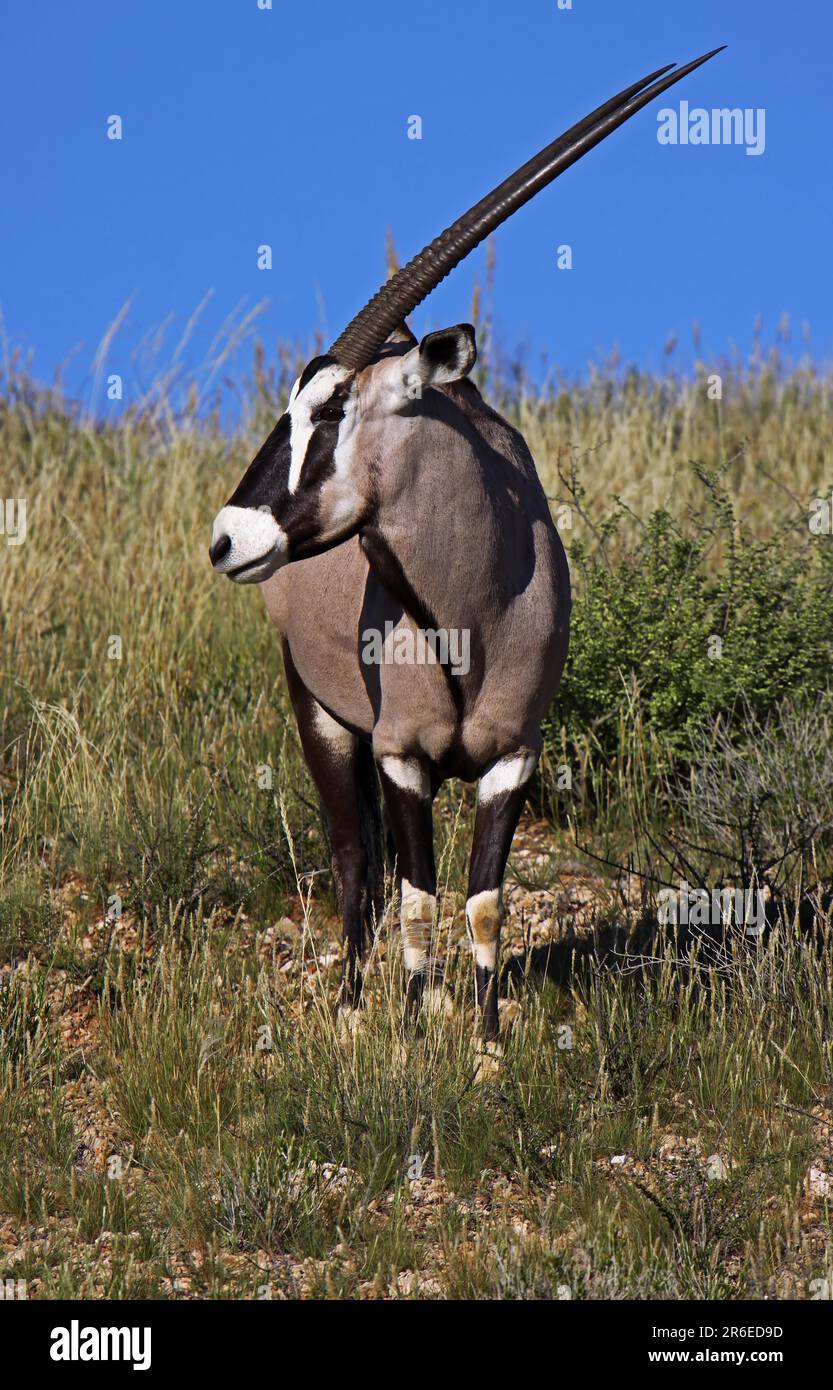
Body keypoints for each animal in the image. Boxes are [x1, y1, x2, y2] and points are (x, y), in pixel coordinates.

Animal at [209, 48, 723, 1045]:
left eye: (333, 407)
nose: (226, 538)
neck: (471, 602)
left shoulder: (512, 754)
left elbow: (483, 899)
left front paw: (484, 1033)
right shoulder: (401, 752)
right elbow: (415, 895)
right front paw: (414, 1027)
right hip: (323, 720)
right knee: (356, 867)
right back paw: (353, 1004)